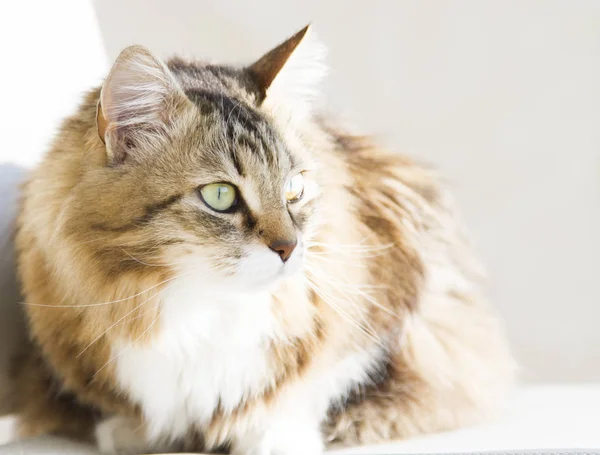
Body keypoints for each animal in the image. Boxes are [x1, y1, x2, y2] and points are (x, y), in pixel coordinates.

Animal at [11, 25, 512, 455]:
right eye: (220, 196)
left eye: (295, 189)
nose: (290, 248)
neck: (200, 308)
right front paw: (131, 431)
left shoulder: (394, 301)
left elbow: (316, 385)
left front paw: (271, 434)